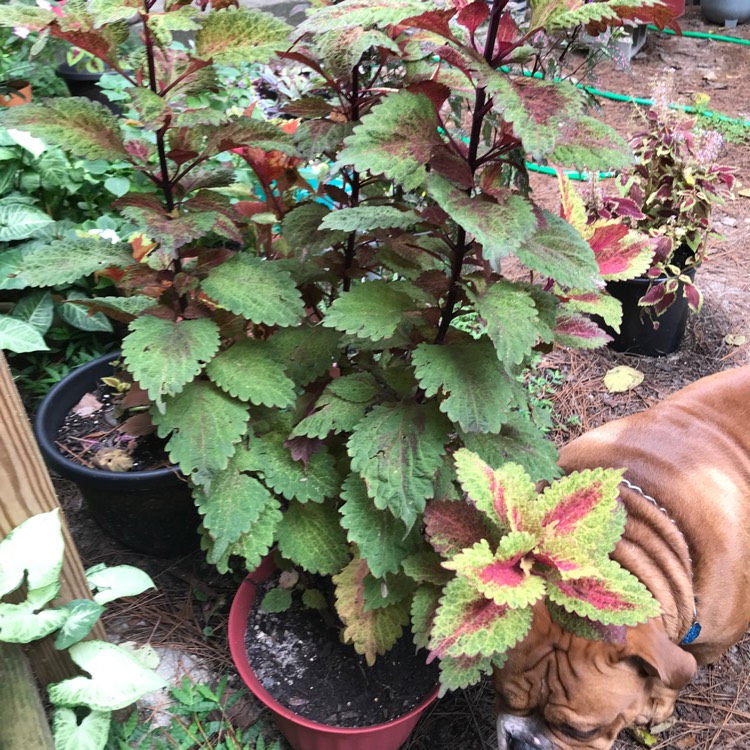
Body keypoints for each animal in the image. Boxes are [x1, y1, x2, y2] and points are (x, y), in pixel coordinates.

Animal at [496, 368, 750, 750]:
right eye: (502, 697)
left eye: (581, 732)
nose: (524, 743)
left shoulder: (709, 642)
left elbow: (679, 671)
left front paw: (658, 703)